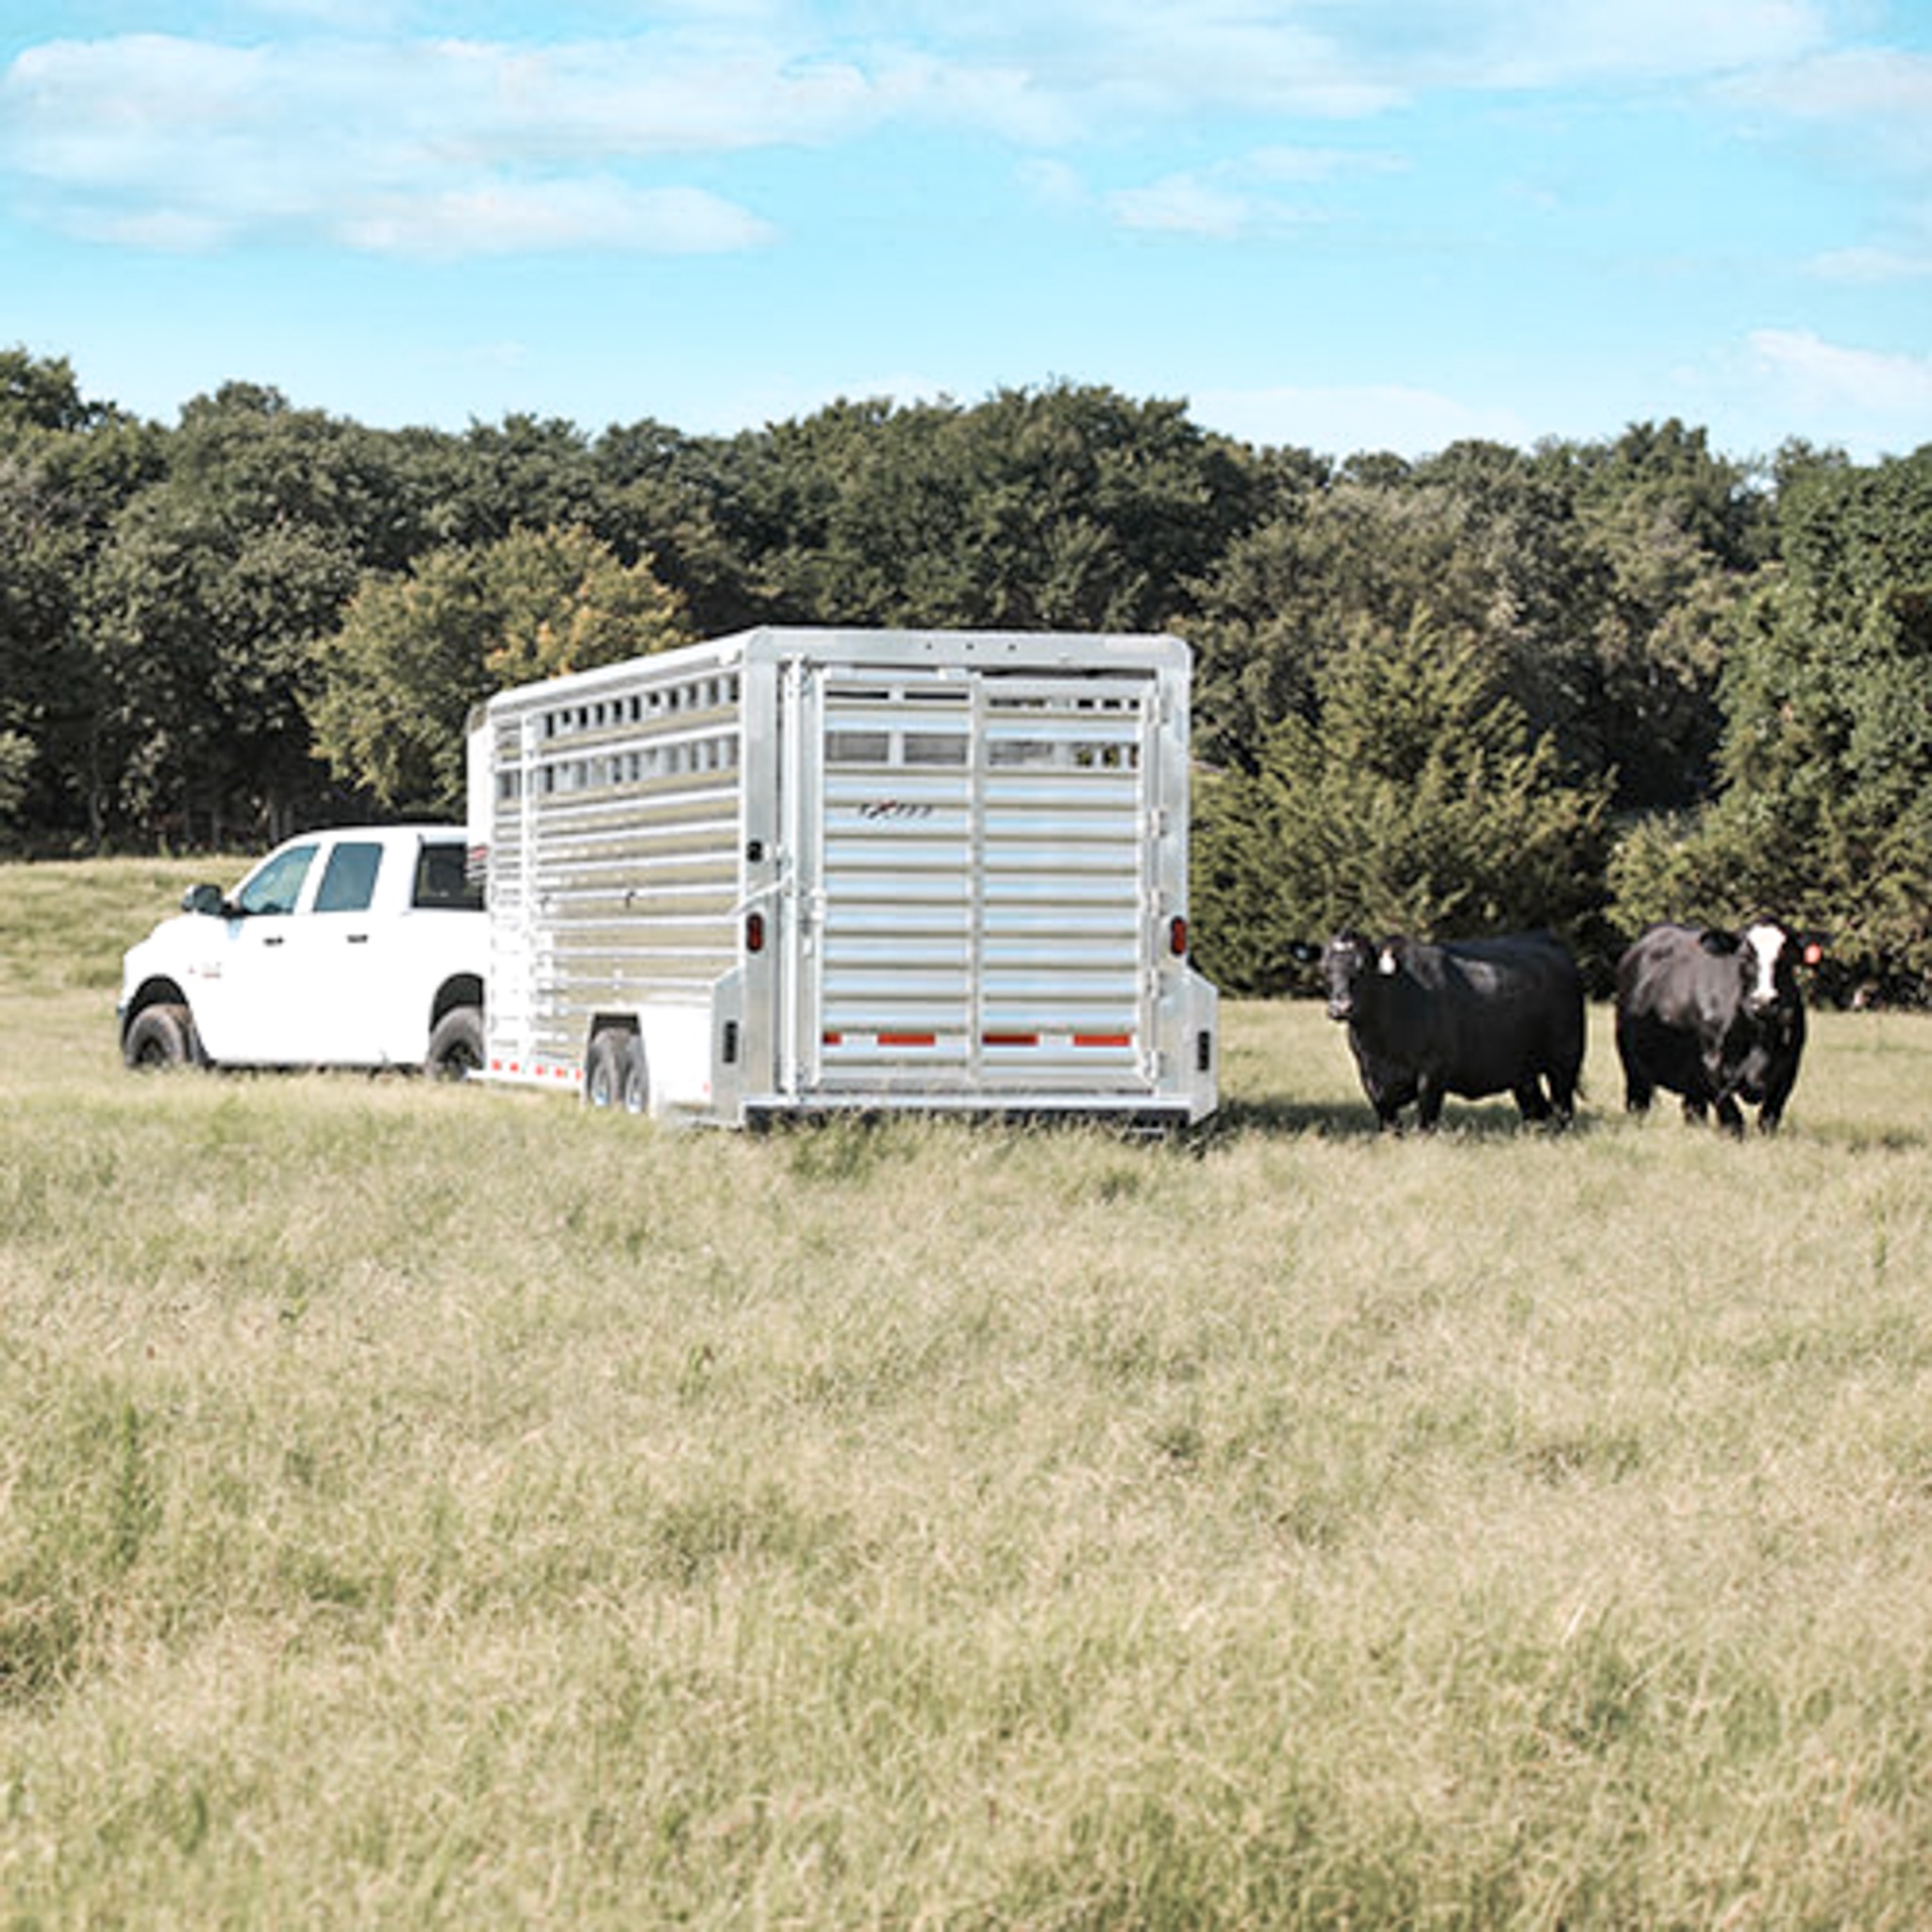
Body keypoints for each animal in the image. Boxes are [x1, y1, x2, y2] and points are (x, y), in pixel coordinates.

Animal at [1321, 923, 1591, 1128]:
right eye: (1324, 969)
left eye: (1362, 968)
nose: (1340, 1008)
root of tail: (1544, 939)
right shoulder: (1370, 1077)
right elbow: (1390, 1125)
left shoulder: (1432, 1072)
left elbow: (1426, 1121)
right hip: (1523, 1072)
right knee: (1536, 1109)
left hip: (1565, 1061)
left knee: (1562, 1108)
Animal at [1615, 919, 1807, 1128]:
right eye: (1744, 957)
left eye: (1787, 958)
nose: (1763, 1001)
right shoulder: (1711, 1064)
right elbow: (1733, 1120)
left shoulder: (1789, 1068)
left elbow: (1769, 1118)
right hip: (1632, 1063)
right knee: (1637, 1103)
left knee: (1693, 1110)